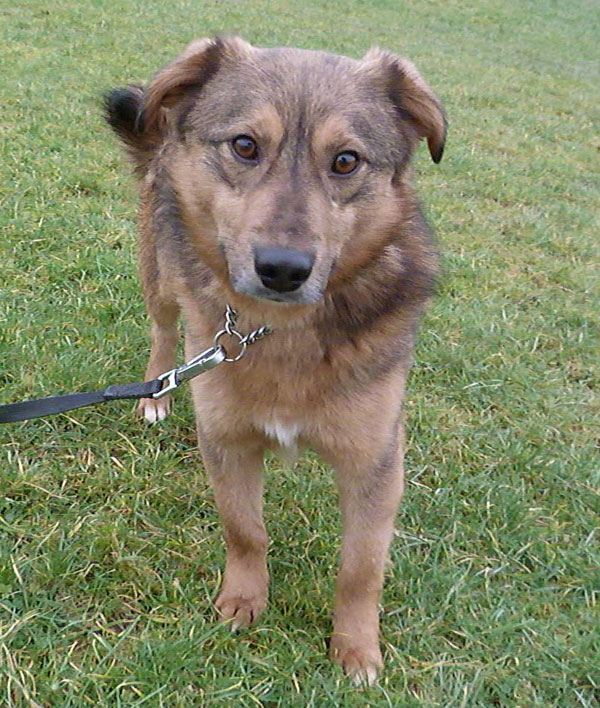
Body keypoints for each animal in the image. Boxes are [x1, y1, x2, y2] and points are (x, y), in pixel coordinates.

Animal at [104, 36, 446, 684]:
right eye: (245, 146)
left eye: (346, 161)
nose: (283, 269)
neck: (280, 331)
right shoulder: (225, 439)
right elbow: (245, 530)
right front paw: (243, 600)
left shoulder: (376, 461)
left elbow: (361, 568)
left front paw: (356, 649)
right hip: (159, 273)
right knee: (163, 328)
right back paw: (157, 391)